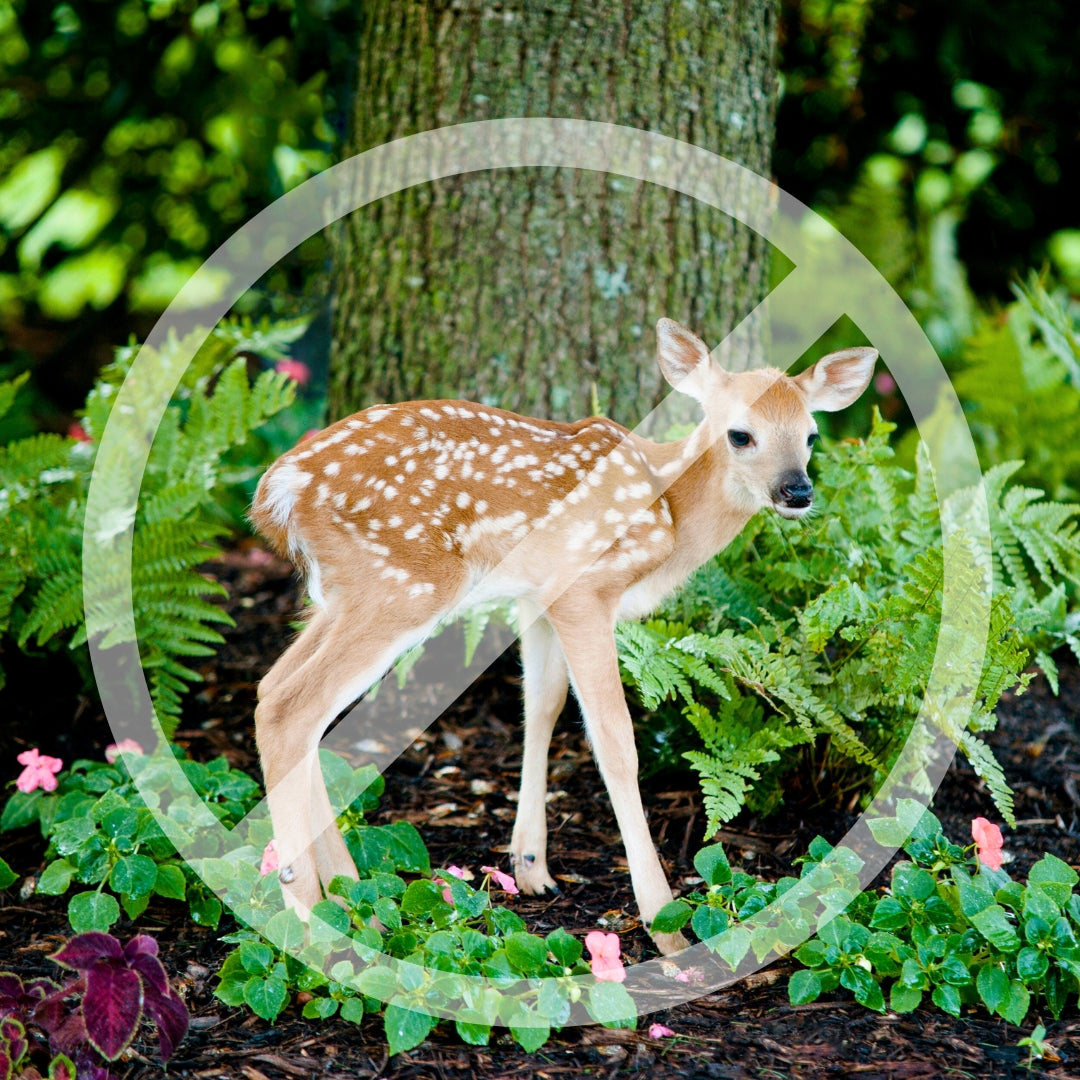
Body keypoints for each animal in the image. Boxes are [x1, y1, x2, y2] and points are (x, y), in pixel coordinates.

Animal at [250, 318, 877, 956]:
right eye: (740, 434)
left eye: (811, 435)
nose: (796, 492)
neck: (671, 513)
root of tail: (279, 489)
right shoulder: (585, 588)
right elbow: (614, 740)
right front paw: (664, 922)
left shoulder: (537, 597)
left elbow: (542, 706)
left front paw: (531, 867)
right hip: (404, 584)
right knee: (291, 707)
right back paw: (307, 919)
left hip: (340, 595)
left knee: (277, 690)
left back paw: (353, 902)